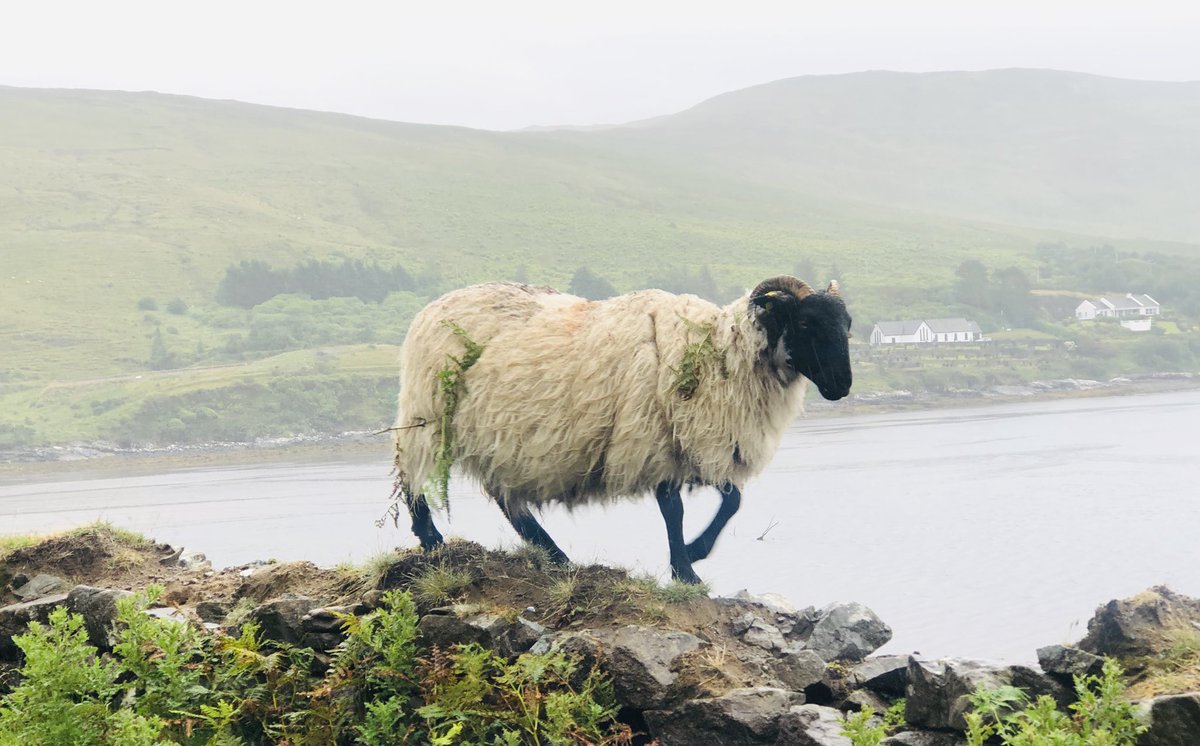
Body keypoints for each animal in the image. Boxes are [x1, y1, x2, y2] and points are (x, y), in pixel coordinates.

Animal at [392, 275, 852, 583]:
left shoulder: (699, 443)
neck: (718, 352)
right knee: (412, 475)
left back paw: (556, 556)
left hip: (499, 438)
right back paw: (432, 539)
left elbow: (732, 501)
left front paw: (691, 555)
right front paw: (686, 567)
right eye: (806, 324)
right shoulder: (655, 438)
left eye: (847, 323)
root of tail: (431, 307)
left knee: (509, 504)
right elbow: (674, 508)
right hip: (429, 411)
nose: (842, 386)